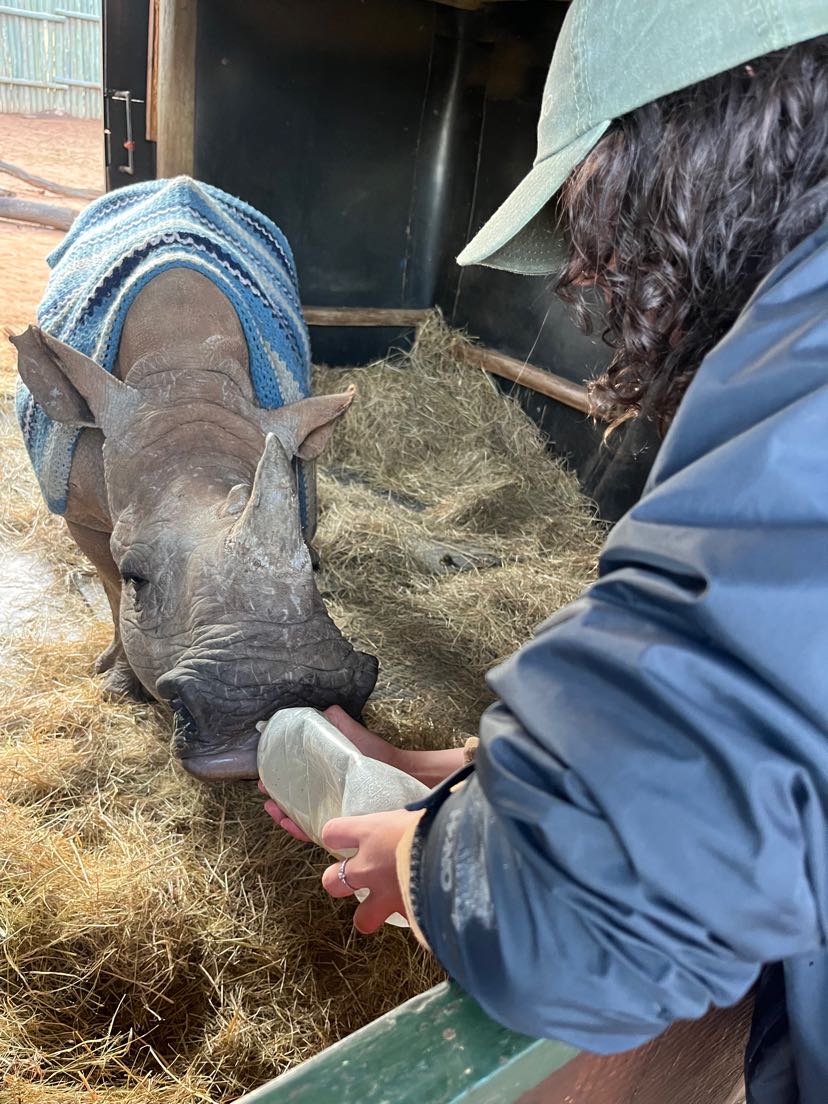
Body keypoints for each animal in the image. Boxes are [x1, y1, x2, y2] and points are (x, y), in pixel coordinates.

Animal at [12, 267, 378, 781]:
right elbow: (111, 590)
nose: (290, 690)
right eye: (137, 577)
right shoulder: (80, 512)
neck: (187, 375)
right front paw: (120, 686)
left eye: (316, 567)